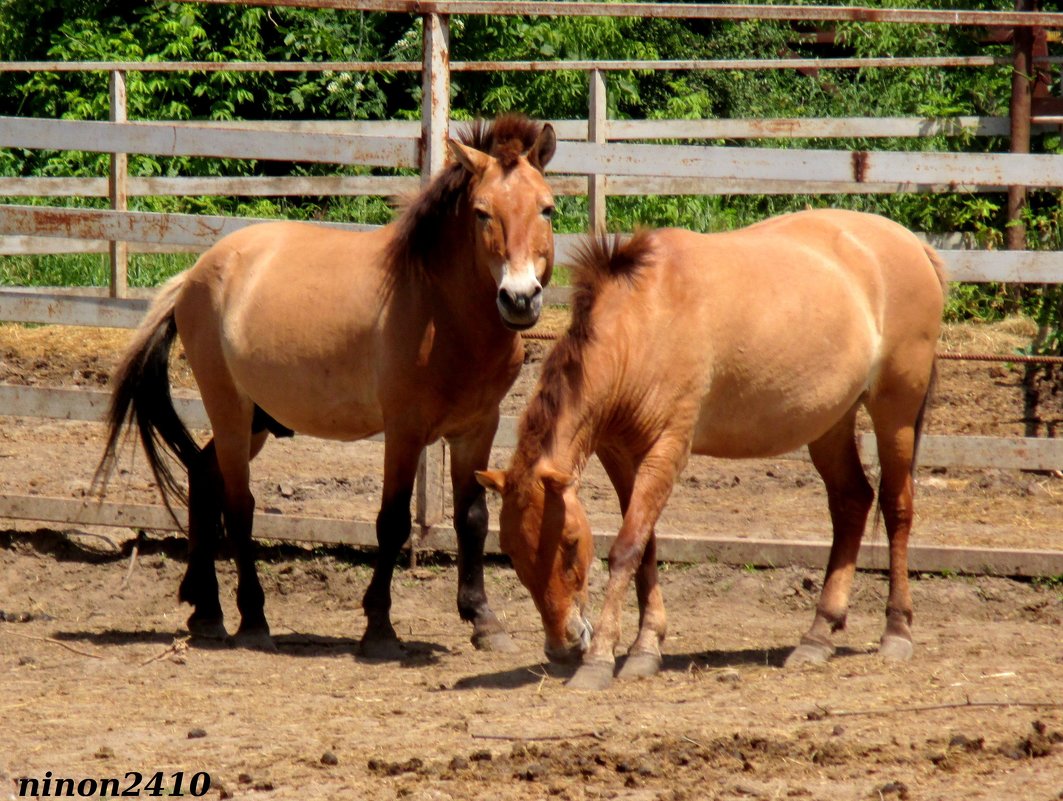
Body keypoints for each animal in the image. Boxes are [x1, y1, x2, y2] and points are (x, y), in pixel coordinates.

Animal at [96, 113, 561, 654]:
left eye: (547, 208)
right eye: (483, 213)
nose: (520, 298)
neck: (440, 309)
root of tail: (195, 274)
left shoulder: (476, 428)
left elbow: (473, 519)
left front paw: (484, 621)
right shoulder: (404, 431)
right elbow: (392, 522)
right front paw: (379, 626)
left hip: (256, 421)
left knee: (203, 477)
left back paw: (206, 611)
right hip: (229, 409)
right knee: (238, 505)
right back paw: (253, 619)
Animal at [480, 209, 948, 688]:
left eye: (571, 542)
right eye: (511, 550)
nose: (563, 646)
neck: (642, 322)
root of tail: (914, 244)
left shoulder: (667, 447)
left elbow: (626, 547)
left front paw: (600, 660)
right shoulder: (620, 454)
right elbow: (645, 545)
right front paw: (646, 646)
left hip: (896, 410)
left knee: (895, 508)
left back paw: (897, 630)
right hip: (830, 422)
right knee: (852, 502)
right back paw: (817, 635)